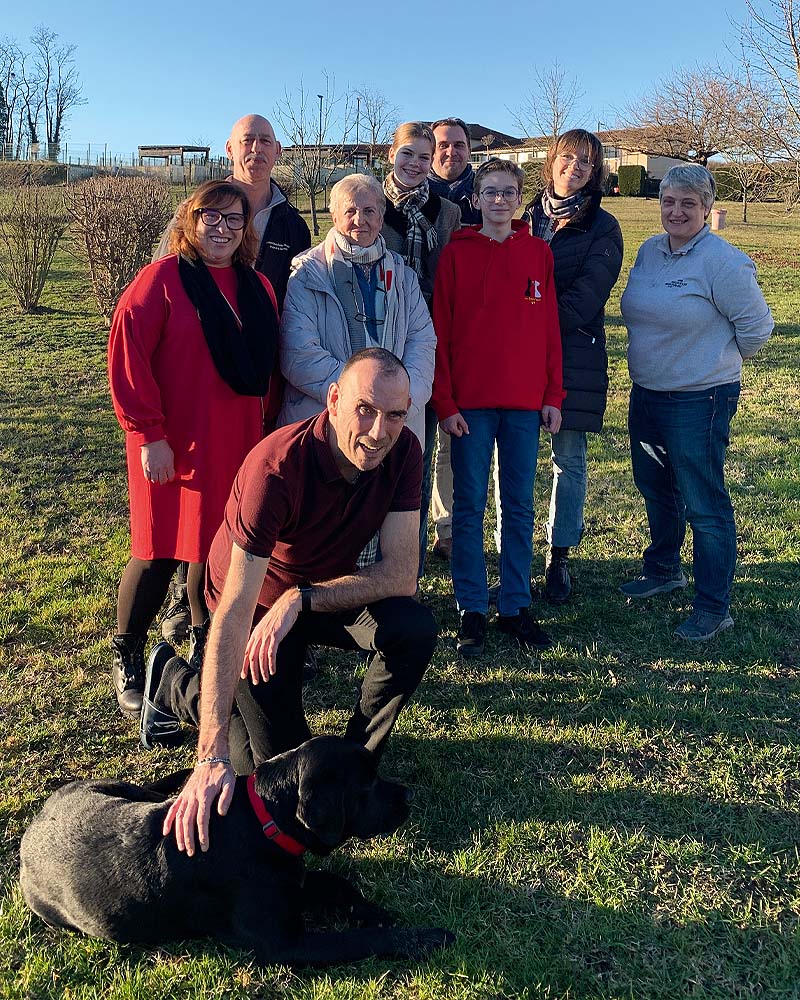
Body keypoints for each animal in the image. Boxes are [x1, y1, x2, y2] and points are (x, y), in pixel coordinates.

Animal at [21, 740, 454, 964]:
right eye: (367, 784)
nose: (408, 796)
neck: (264, 820)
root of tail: (34, 825)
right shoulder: (285, 943)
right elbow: (357, 941)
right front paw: (420, 937)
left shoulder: (295, 884)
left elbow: (337, 882)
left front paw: (373, 912)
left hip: (130, 793)